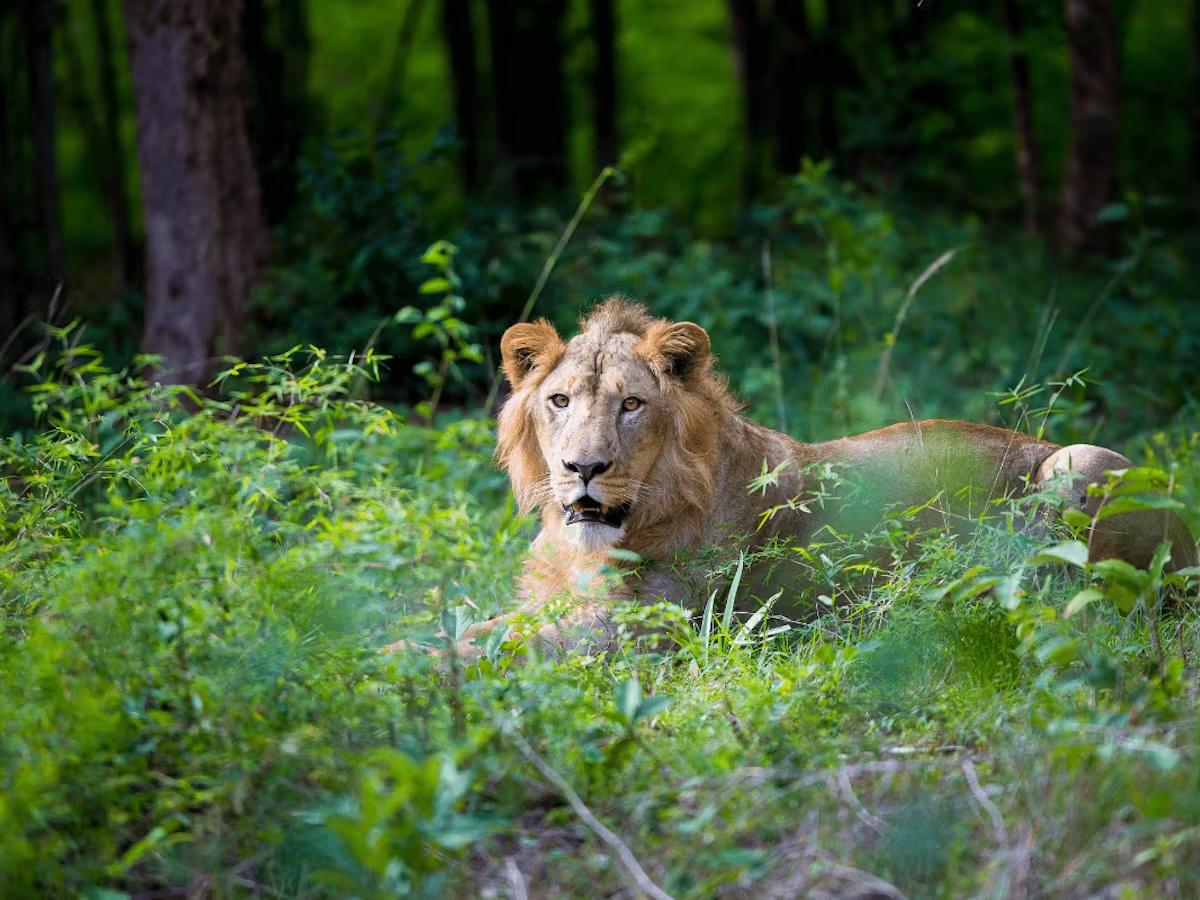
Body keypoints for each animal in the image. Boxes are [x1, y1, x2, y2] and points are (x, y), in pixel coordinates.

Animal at [447, 298, 1197, 657]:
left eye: (631, 405)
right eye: (559, 401)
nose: (582, 469)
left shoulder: (649, 630)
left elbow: (500, 647)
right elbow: (476, 628)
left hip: (1080, 462)